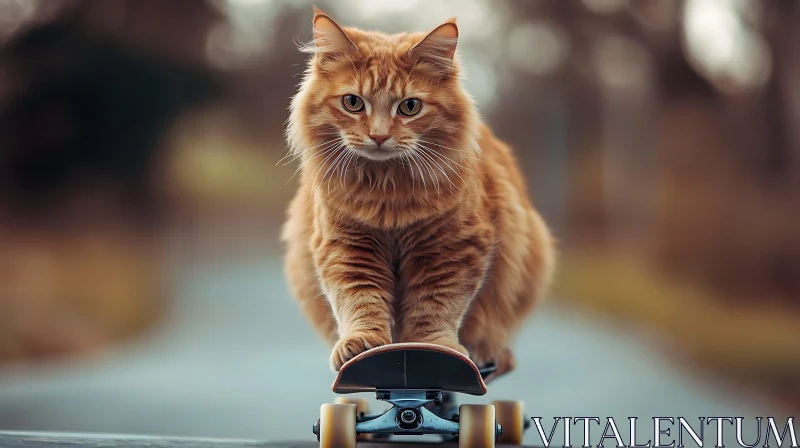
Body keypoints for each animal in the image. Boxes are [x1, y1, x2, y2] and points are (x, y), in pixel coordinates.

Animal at [282, 8, 556, 376]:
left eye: (409, 107)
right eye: (353, 103)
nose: (379, 136)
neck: (388, 192)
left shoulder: (451, 249)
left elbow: (436, 306)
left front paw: (434, 348)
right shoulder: (347, 246)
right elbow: (359, 300)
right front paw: (362, 343)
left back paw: (489, 352)